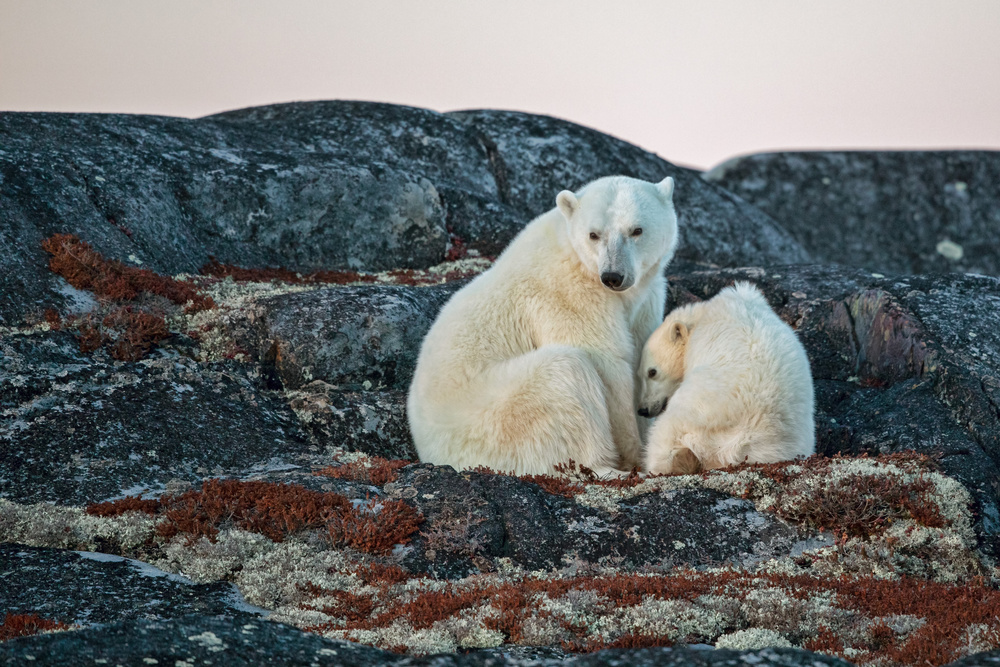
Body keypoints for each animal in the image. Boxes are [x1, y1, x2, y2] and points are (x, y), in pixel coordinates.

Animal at [408, 175, 680, 472]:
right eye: (594, 234)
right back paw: (605, 467)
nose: (613, 276)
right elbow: (608, 362)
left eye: (636, 230)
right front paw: (635, 453)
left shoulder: (646, 299)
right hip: (491, 417)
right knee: (565, 373)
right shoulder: (568, 296)